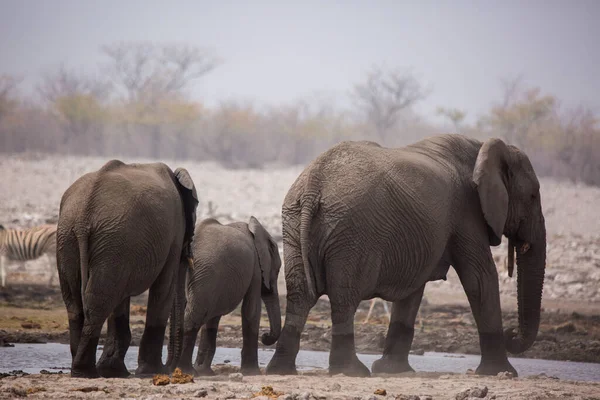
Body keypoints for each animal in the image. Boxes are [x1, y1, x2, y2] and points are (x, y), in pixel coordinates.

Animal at [56, 159, 198, 378]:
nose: (170, 368)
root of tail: (83, 218)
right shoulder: (174, 233)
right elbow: (164, 287)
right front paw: (150, 371)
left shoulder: (125, 253)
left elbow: (120, 298)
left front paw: (113, 371)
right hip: (108, 239)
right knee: (97, 302)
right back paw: (86, 372)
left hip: (77, 239)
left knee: (76, 303)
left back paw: (81, 370)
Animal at [173, 216, 284, 376]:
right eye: (278, 270)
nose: (265, 336)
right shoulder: (255, 268)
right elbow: (251, 310)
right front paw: (252, 372)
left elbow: (212, 320)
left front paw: (206, 372)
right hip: (206, 275)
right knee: (194, 317)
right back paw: (186, 371)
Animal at [264, 134, 548, 378]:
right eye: (533, 195)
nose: (512, 334)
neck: (482, 148)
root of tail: (314, 185)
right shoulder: (467, 212)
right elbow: (479, 277)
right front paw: (502, 373)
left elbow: (413, 289)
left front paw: (392, 370)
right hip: (351, 231)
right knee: (344, 296)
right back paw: (352, 371)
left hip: (295, 222)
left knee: (300, 294)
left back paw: (281, 369)